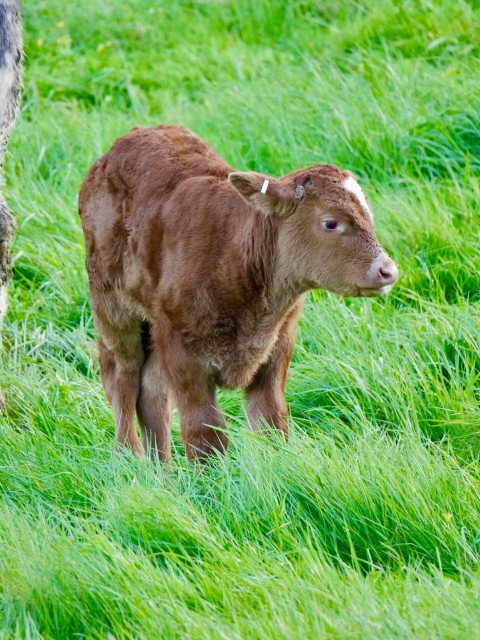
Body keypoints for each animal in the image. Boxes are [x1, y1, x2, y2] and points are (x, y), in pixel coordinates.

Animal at [79, 125, 398, 462]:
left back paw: (160, 469)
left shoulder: (277, 345)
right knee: (121, 380)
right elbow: (205, 431)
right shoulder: (182, 350)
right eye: (330, 222)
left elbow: (271, 421)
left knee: (153, 394)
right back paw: (129, 458)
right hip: (112, 307)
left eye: (370, 217)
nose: (388, 271)